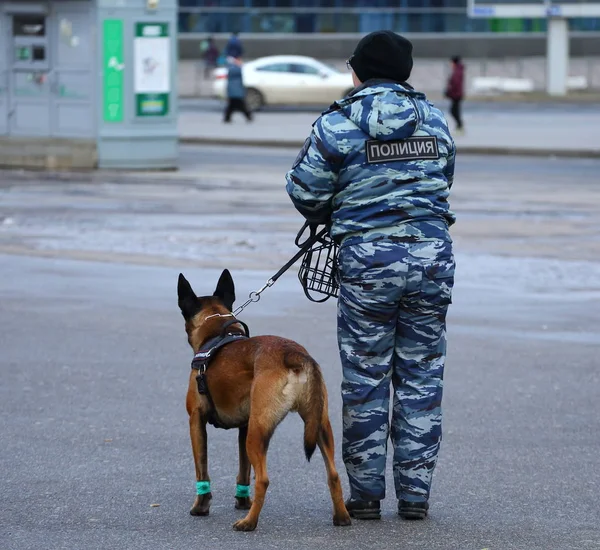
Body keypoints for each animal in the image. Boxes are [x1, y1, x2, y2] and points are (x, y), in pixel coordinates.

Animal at [176, 270, 352, 532]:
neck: (216, 332)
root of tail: (293, 354)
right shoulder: (243, 426)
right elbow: (243, 471)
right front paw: (242, 501)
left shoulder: (196, 421)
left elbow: (202, 469)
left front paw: (201, 506)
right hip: (318, 424)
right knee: (333, 474)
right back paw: (341, 517)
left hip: (257, 432)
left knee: (263, 480)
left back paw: (249, 522)